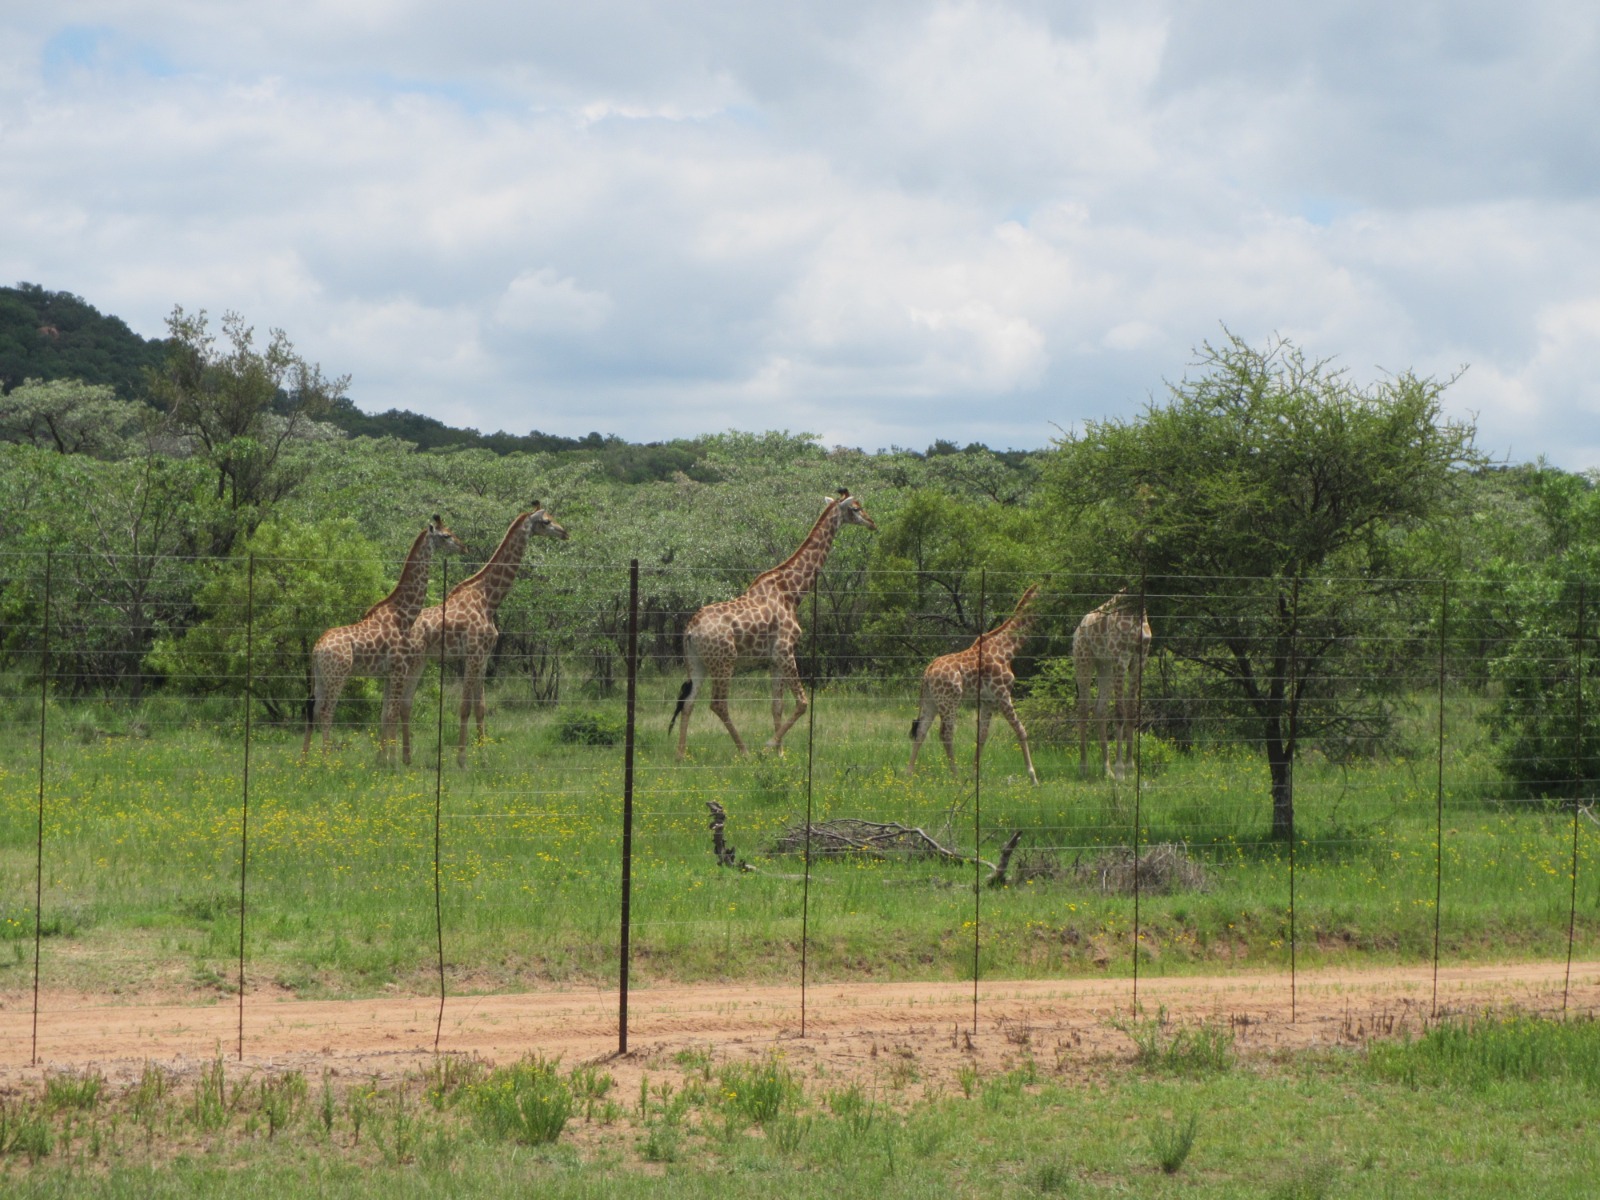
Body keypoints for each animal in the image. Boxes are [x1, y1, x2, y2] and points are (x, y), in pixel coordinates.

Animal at [301, 515, 465, 763]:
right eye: (446, 535)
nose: (464, 547)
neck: (404, 615)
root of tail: (316, 648)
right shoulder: (399, 669)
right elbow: (392, 713)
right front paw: (393, 763)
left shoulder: (388, 673)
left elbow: (383, 714)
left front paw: (381, 761)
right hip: (337, 675)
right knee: (326, 711)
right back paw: (326, 761)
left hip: (320, 676)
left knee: (312, 708)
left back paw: (303, 762)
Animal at [394, 505, 569, 766]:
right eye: (546, 522)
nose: (565, 532)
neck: (487, 598)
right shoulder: (474, 653)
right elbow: (465, 706)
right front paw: (462, 760)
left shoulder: (484, 656)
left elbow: (481, 707)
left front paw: (484, 757)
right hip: (411, 661)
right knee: (398, 703)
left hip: (421, 660)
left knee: (405, 703)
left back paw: (406, 758)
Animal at [670, 489, 876, 758]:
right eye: (856, 508)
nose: (873, 523)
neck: (792, 592)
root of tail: (690, 631)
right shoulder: (785, 650)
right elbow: (802, 702)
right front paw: (769, 746)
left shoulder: (774, 659)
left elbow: (777, 705)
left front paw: (780, 754)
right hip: (724, 661)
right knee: (718, 704)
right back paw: (744, 752)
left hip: (696, 662)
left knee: (688, 702)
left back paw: (680, 755)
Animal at [907, 583, 1041, 785]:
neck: (1008, 648)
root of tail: (928, 672)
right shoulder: (1003, 694)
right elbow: (1021, 730)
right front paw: (1033, 778)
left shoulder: (988, 700)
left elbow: (982, 736)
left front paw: (973, 776)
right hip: (949, 701)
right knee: (945, 734)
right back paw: (955, 776)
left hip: (931, 701)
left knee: (921, 731)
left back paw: (908, 774)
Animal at [1073, 589, 1152, 781]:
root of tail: (1077, 629)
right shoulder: (1120, 659)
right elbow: (1120, 713)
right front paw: (1120, 771)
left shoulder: (1139, 660)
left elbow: (1132, 713)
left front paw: (1130, 767)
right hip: (1083, 660)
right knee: (1083, 709)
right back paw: (1084, 768)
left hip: (1104, 665)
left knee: (1099, 709)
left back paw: (1106, 769)